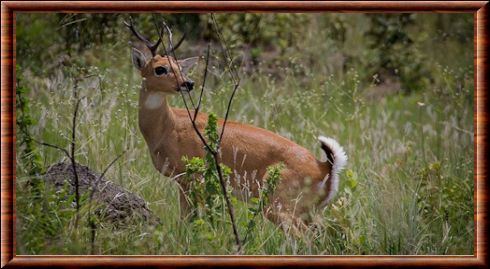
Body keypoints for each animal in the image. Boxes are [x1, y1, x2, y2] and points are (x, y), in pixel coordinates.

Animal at [127, 21, 348, 231]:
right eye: (160, 68)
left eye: (180, 68)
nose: (187, 83)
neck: (166, 128)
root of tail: (325, 167)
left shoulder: (188, 176)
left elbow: (186, 218)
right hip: (308, 209)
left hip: (279, 201)